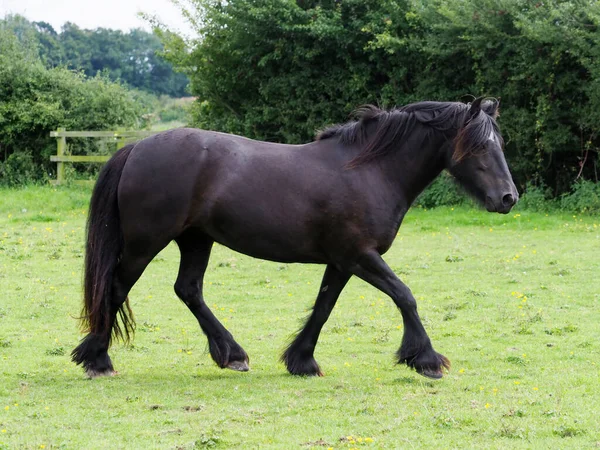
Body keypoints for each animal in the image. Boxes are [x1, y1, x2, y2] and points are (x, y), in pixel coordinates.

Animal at [72, 98, 516, 380]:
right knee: (116, 287)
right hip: (145, 243)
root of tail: (136, 147)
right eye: (478, 146)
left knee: (188, 290)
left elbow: (323, 308)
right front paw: (426, 360)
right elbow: (405, 296)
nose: (508, 198)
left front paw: (301, 361)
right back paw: (98, 361)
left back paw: (232, 355)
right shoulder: (361, 256)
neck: (370, 170)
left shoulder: (342, 261)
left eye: (500, 143)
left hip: (196, 240)